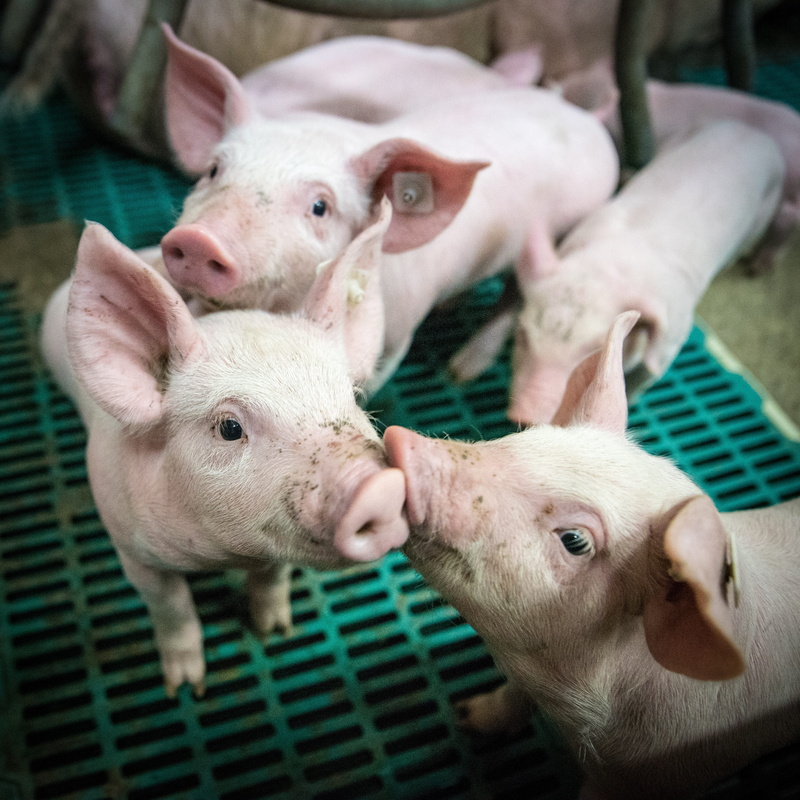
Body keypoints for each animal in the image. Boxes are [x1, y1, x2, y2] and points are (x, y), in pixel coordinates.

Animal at [40, 201, 408, 696]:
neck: (218, 554)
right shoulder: (132, 550)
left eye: (353, 396)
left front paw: (276, 634)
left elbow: (272, 578)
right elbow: (171, 606)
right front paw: (186, 689)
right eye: (229, 427)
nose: (381, 486)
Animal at [157, 29, 620, 394]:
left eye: (320, 207)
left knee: (514, 297)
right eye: (214, 170)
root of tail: (585, 118)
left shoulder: (398, 332)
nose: (198, 239)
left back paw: (460, 372)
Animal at [450, 119, 785, 424]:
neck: (609, 269)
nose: (523, 415)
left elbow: (646, 374)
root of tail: (750, 129)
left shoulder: (673, 337)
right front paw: (457, 374)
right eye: (523, 335)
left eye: (596, 352)